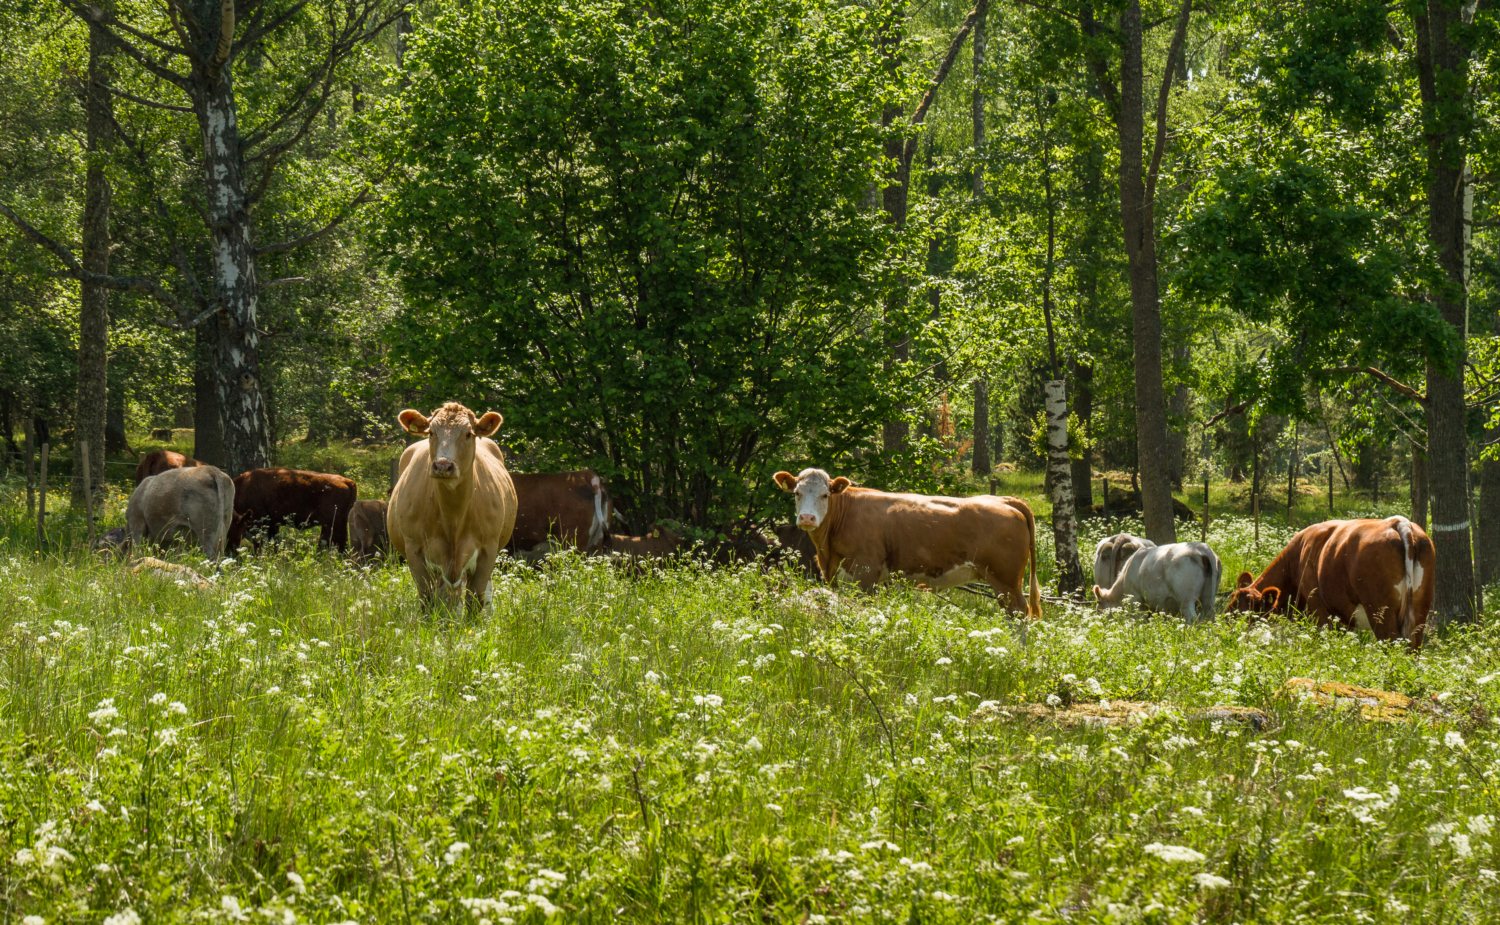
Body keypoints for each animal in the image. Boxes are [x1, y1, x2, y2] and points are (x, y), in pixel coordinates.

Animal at [226, 464, 358, 551]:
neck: (243, 487)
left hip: (331, 524)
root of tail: (347, 481)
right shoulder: (273, 524)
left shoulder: (258, 523)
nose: (229, 550)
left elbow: (259, 544)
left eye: (230, 528)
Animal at [384, 401, 519, 608]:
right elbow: (427, 599)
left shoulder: (488, 550)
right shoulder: (414, 549)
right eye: (431, 432)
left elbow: (475, 599)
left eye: (468, 434)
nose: (442, 466)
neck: (453, 517)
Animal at [768, 467, 1038, 614]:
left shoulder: (865, 574)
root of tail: (1004, 499)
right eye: (796, 493)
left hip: (1006, 579)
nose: (807, 517)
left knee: (1019, 613)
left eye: (825, 495)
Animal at [1224, 515, 1434, 644]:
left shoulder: (1319, 613)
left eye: (1246, 616)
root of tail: (1399, 523)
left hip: (1380, 612)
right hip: (1419, 613)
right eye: (1230, 606)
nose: (1226, 634)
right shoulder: (1344, 619)